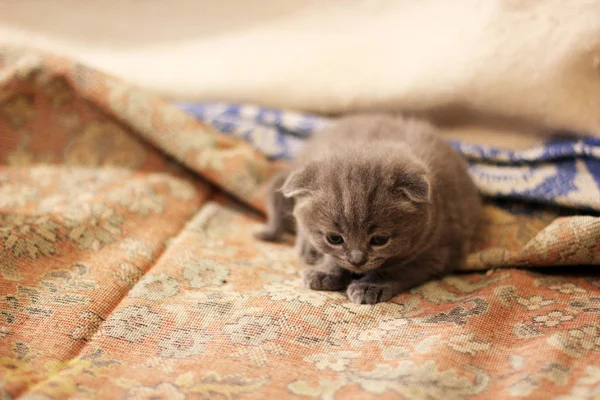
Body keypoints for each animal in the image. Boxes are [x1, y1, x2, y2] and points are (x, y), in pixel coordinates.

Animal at [255, 114, 480, 304]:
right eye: (334, 238)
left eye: (380, 240)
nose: (357, 260)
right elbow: (333, 257)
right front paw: (326, 272)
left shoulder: (435, 254)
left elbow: (396, 270)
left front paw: (369, 286)